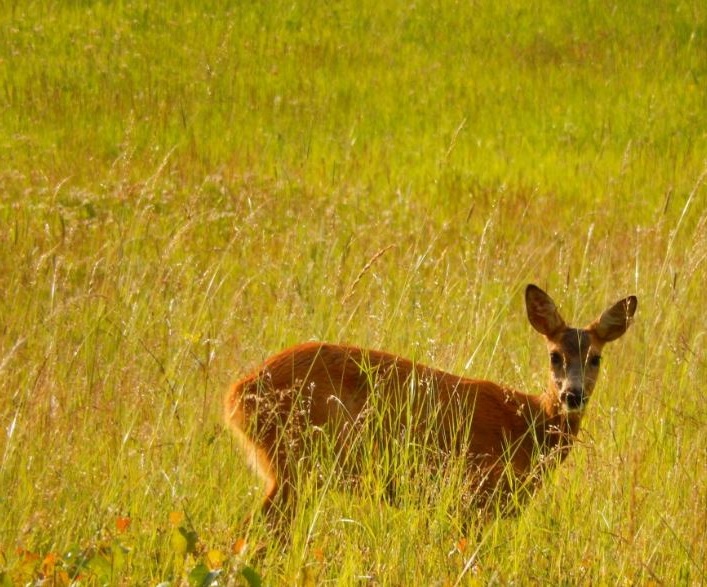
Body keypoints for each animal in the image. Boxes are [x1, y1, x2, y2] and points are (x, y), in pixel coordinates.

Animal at [224, 284, 640, 524]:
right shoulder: (474, 493)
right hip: (296, 462)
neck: (526, 424)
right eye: (555, 355)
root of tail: (235, 395)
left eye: (595, 358)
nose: (573, 394)